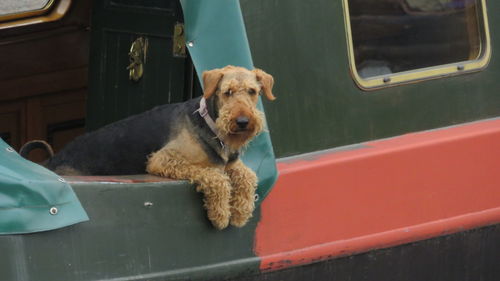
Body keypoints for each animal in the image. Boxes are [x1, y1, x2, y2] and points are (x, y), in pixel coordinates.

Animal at [19, 65, 276, 228]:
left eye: (252, 91)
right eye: (227, 92)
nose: (242, 122)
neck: (210, 124)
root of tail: (51, 161)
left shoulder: (229, 163)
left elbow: (248, 176)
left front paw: (241, 212)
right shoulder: (163, 159)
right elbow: (216, 178)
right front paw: (221, 215)